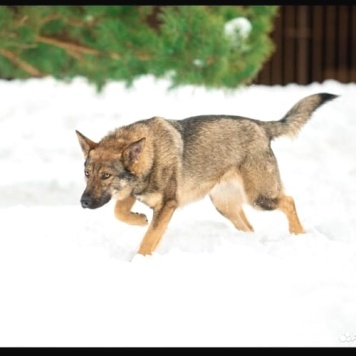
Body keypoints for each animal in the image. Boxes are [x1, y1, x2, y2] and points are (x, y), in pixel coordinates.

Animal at [75, 92, 336, 256]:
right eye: (87, 173)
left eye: (106, 176)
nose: (83, 202)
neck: (152, 154)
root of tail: (261, 126)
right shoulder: (133, 194)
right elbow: (119, 212)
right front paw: (139, 219)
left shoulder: (167, 205)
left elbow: (148, 240)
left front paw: (138, 261)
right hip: (225, 206)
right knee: (250, 227)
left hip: (260, 198)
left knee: (289, 201)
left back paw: (298, 235)